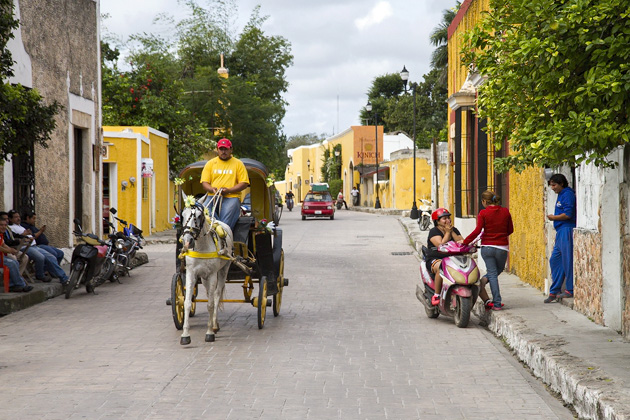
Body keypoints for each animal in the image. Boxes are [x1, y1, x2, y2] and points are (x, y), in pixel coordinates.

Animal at [179, 195, 233, 346]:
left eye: (199, 215)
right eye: (183, 214)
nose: (187, 241)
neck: (201, 247)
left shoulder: (213, 274)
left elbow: (210, 304)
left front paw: (209, 332)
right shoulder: (191, 274)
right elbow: (186, 303)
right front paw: (185, 335)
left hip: (223, 270)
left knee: (216, 295)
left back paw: (214, 325)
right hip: (203, 278)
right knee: (210, 292)